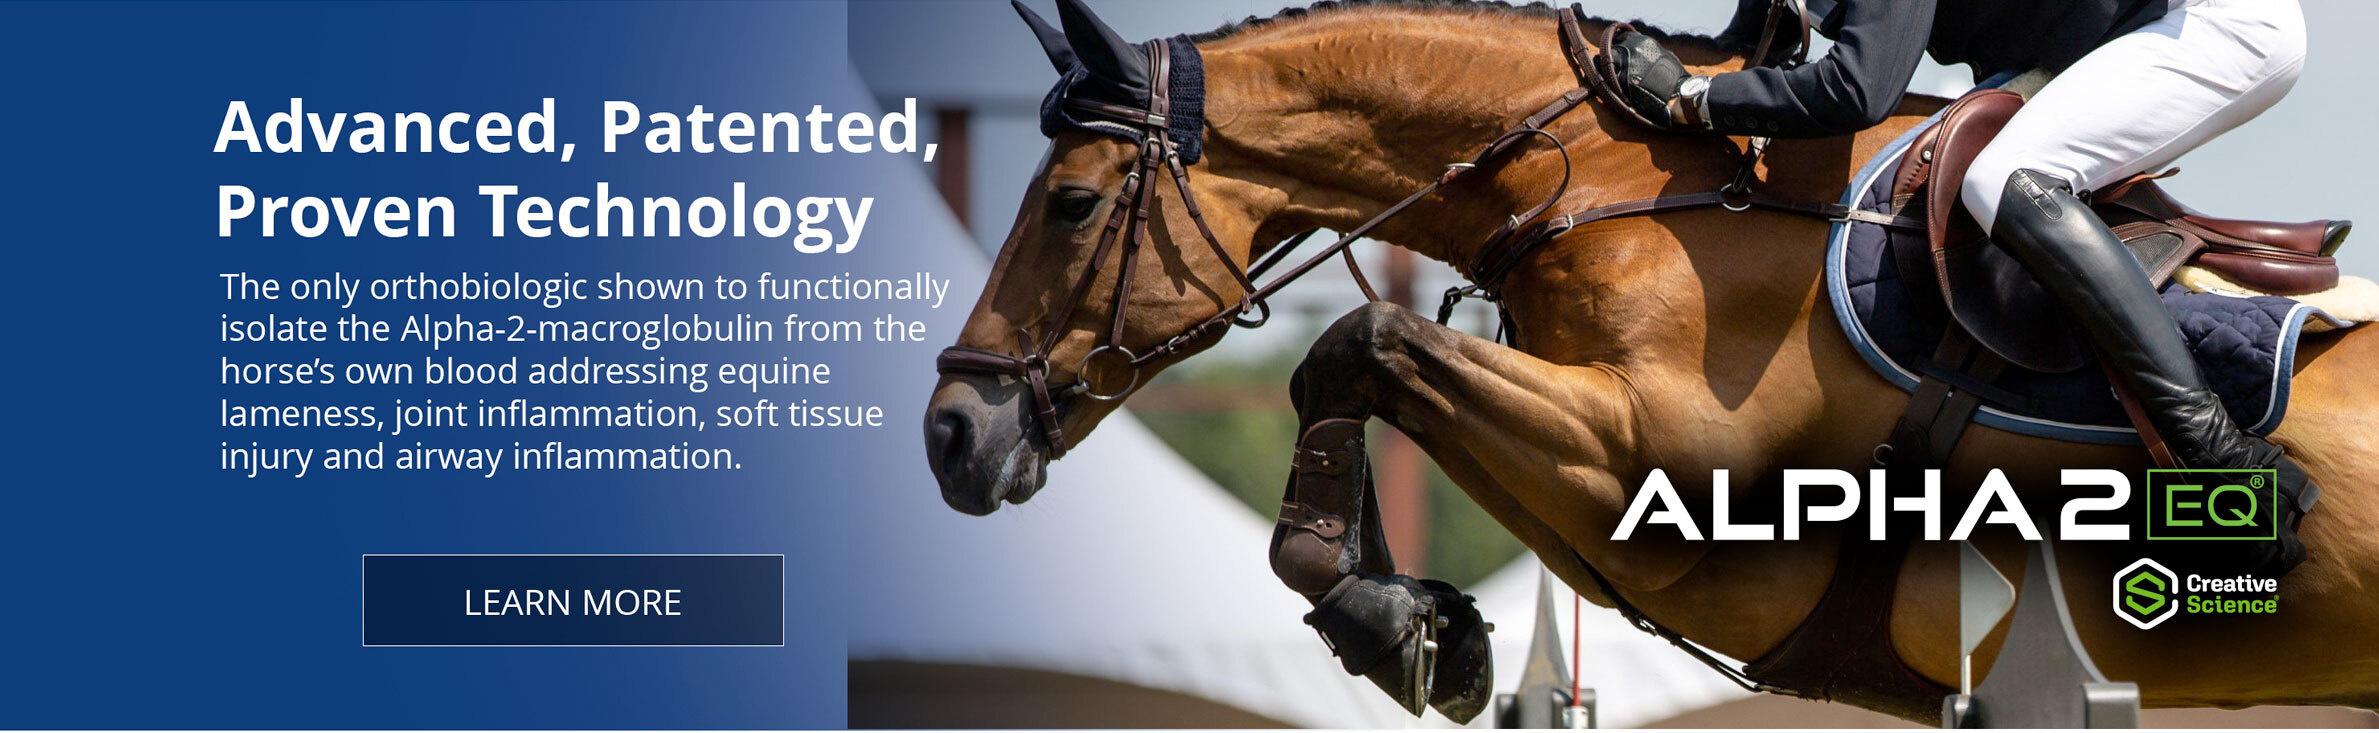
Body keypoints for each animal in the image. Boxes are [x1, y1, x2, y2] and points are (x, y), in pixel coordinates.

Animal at [922, 0, 2379, 722]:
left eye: (1071, 204)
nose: (950, 431)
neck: (1622, 188)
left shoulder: (1668, 468)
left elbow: (1357, 342)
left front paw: (1385, 616)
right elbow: (1371, 367)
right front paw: (1410, 622)